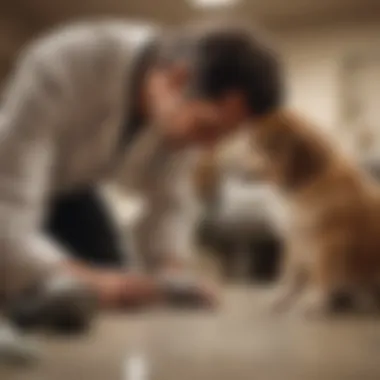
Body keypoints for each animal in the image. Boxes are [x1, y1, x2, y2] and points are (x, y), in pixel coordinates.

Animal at [252, 109, 380, 314]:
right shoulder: (294, 239)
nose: (243, 171)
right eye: (254, 146)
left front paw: (315, 300)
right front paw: (281, 296)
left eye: (264, 149)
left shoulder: (333, 241)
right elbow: (289, 273)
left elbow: (322, 272)